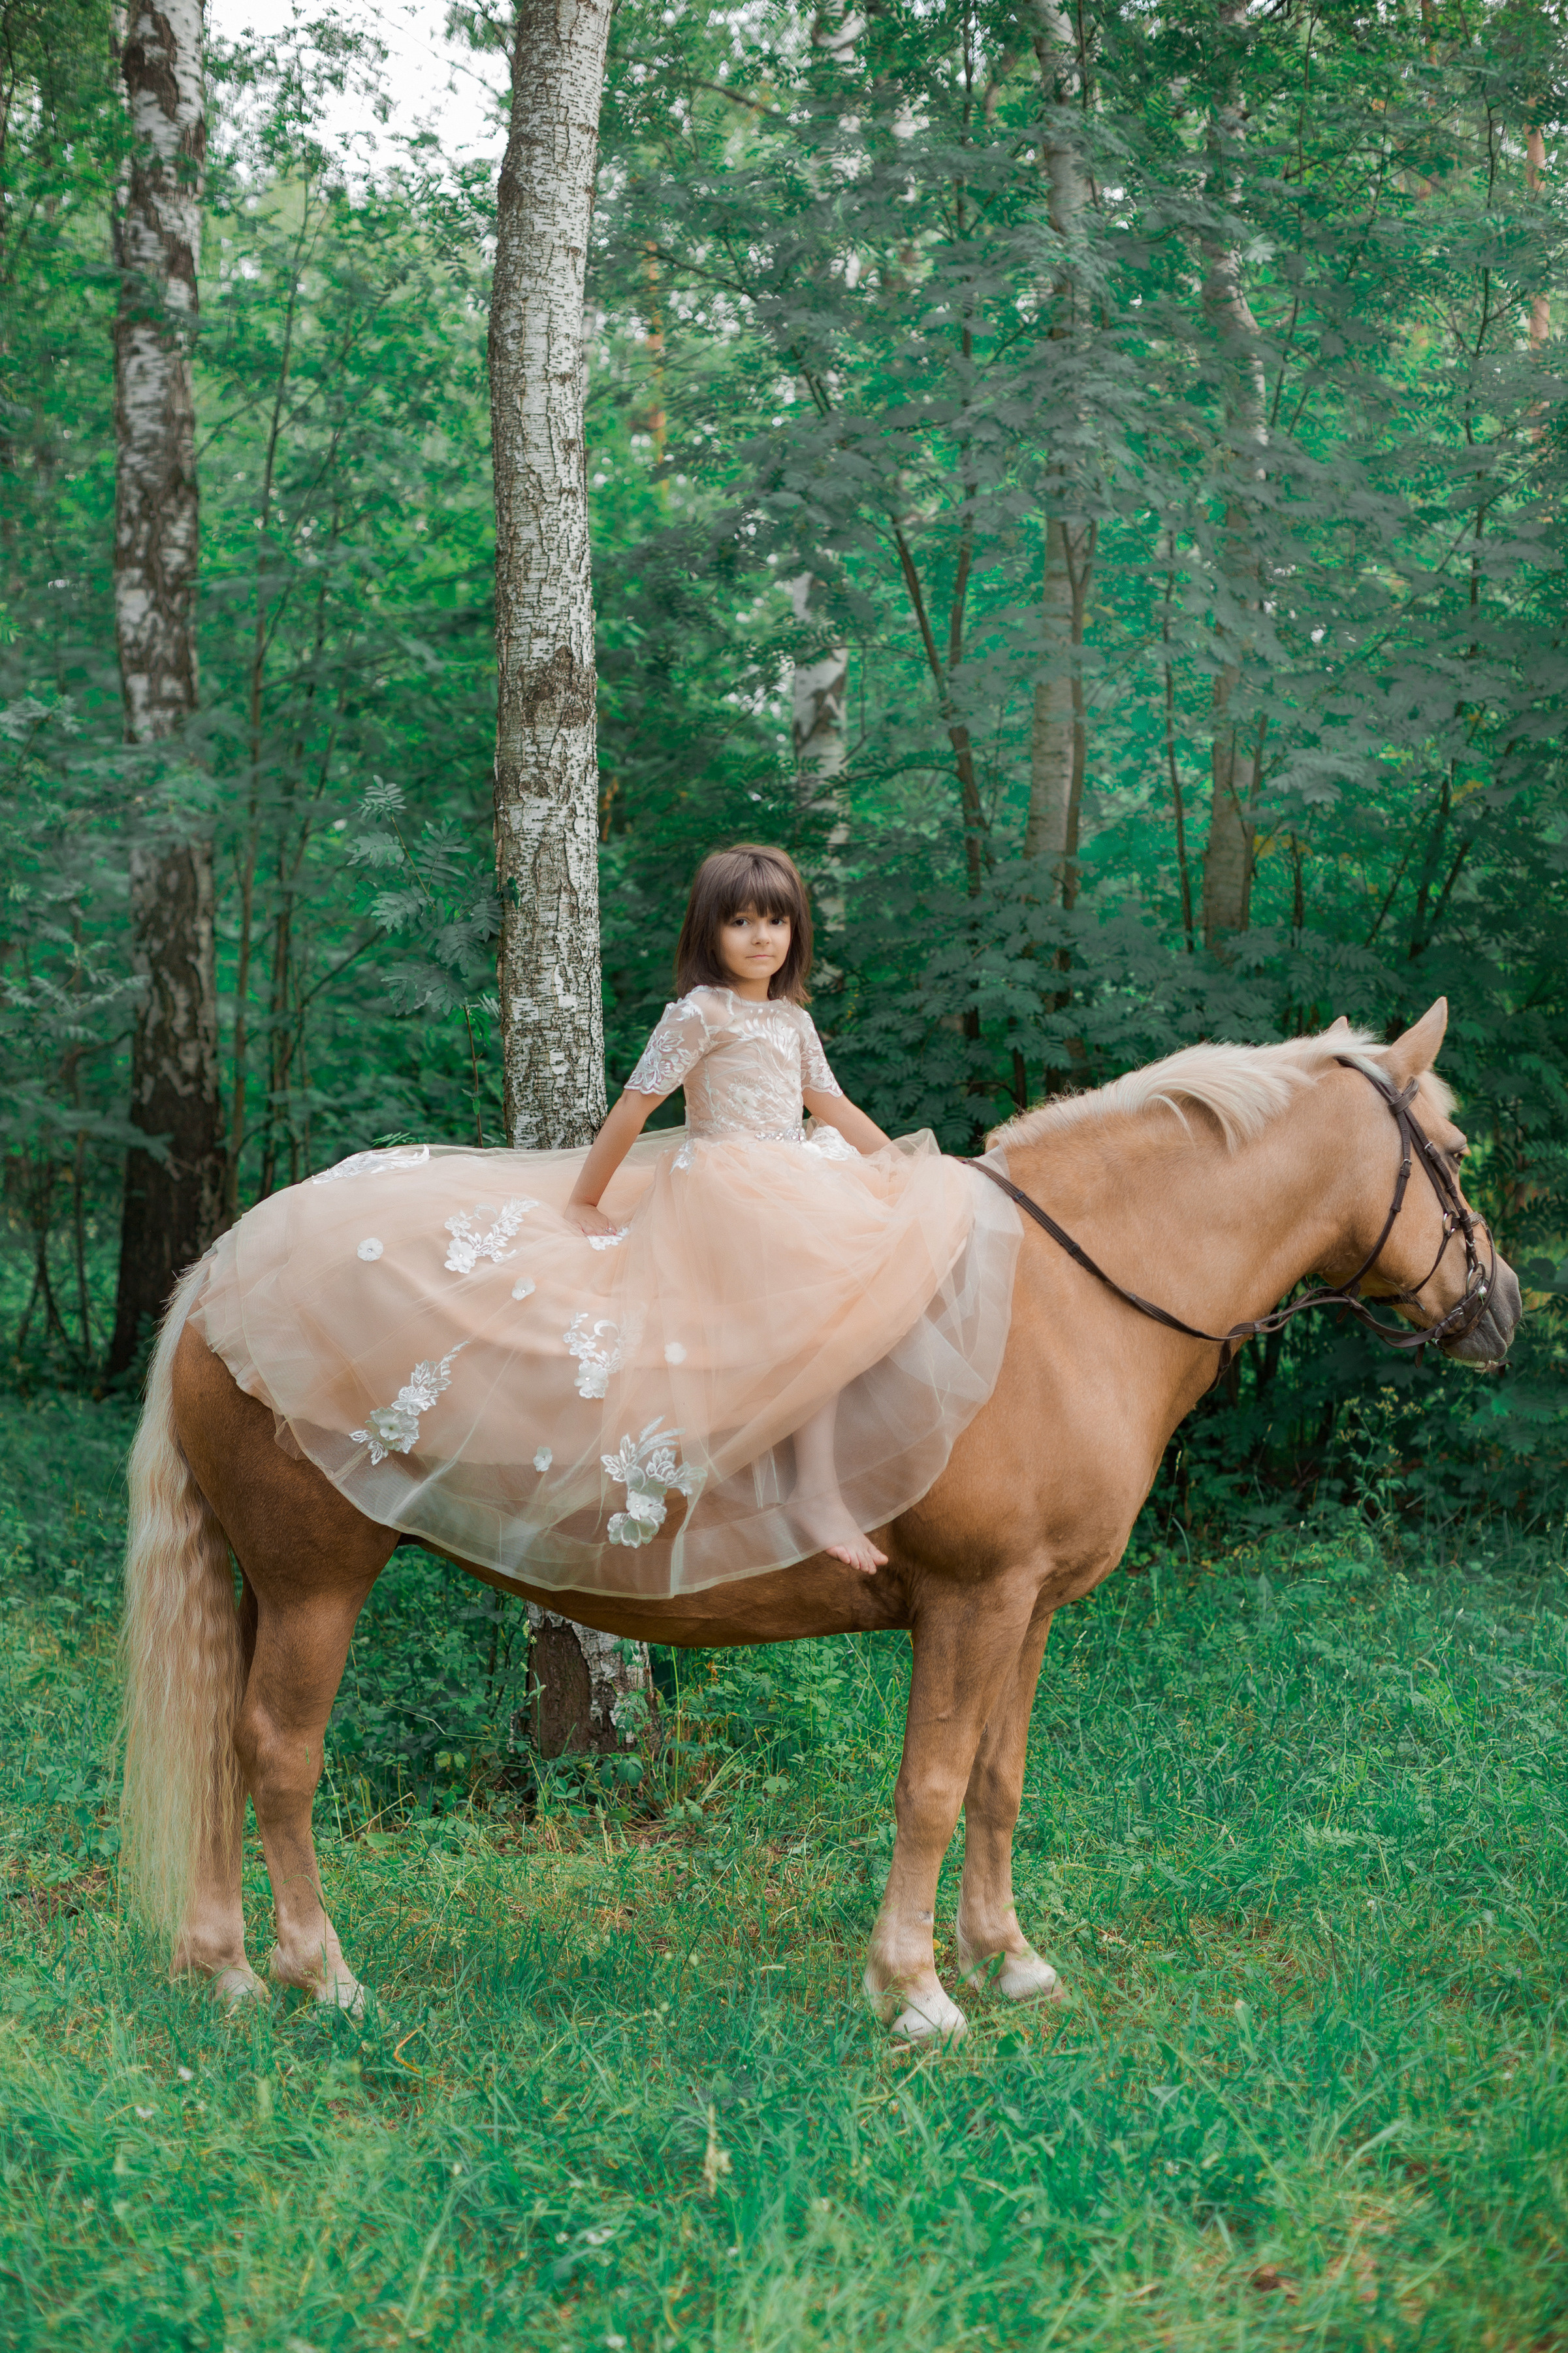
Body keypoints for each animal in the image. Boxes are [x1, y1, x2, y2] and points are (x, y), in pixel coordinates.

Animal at [120, 998, 1521, 2042]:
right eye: (1453, 1156)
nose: (1506, 1308)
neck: (1068, 1290)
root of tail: (224, 1268)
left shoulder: (1029, 1609)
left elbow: (998, 1781)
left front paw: (1006, 1960)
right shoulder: (971, 1599)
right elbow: (931, 1787)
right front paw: (914, 1991)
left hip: (262, 1584)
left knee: (223, 1749)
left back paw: (228, 1966)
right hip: (316, 1581)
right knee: (279, 1757)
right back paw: (322, 1976)